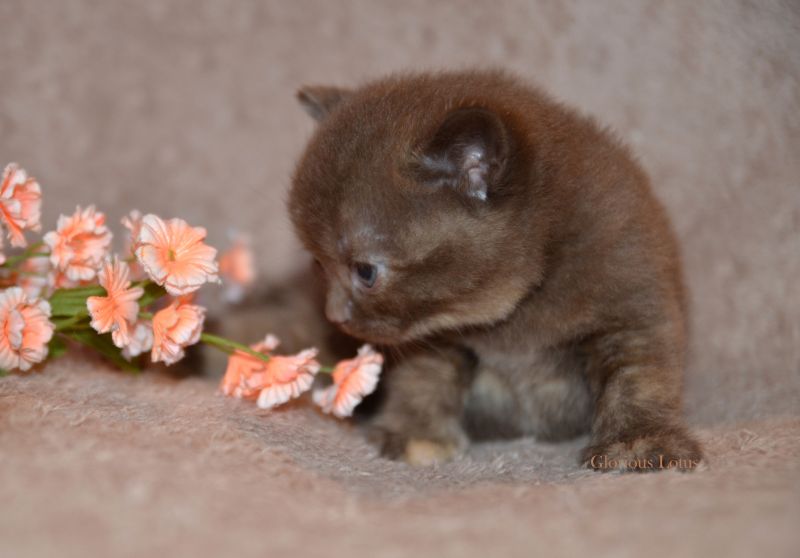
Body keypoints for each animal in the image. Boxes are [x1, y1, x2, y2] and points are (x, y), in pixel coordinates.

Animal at [288, 69, 702, 472]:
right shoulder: (433, 337)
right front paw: (415, 434)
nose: (334, 316)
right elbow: (422, 376)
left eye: (365, 272)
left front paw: (639, 443)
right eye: (319, 264)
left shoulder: (631, 291)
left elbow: (639, 375)